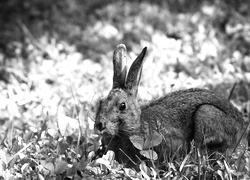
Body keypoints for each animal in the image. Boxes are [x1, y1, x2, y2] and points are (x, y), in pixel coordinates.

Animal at [94, 43, 246, 169]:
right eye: (101, 101)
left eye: (122, 106)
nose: (99, 125)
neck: (135, 124)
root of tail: (240, 126)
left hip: (206, 113)